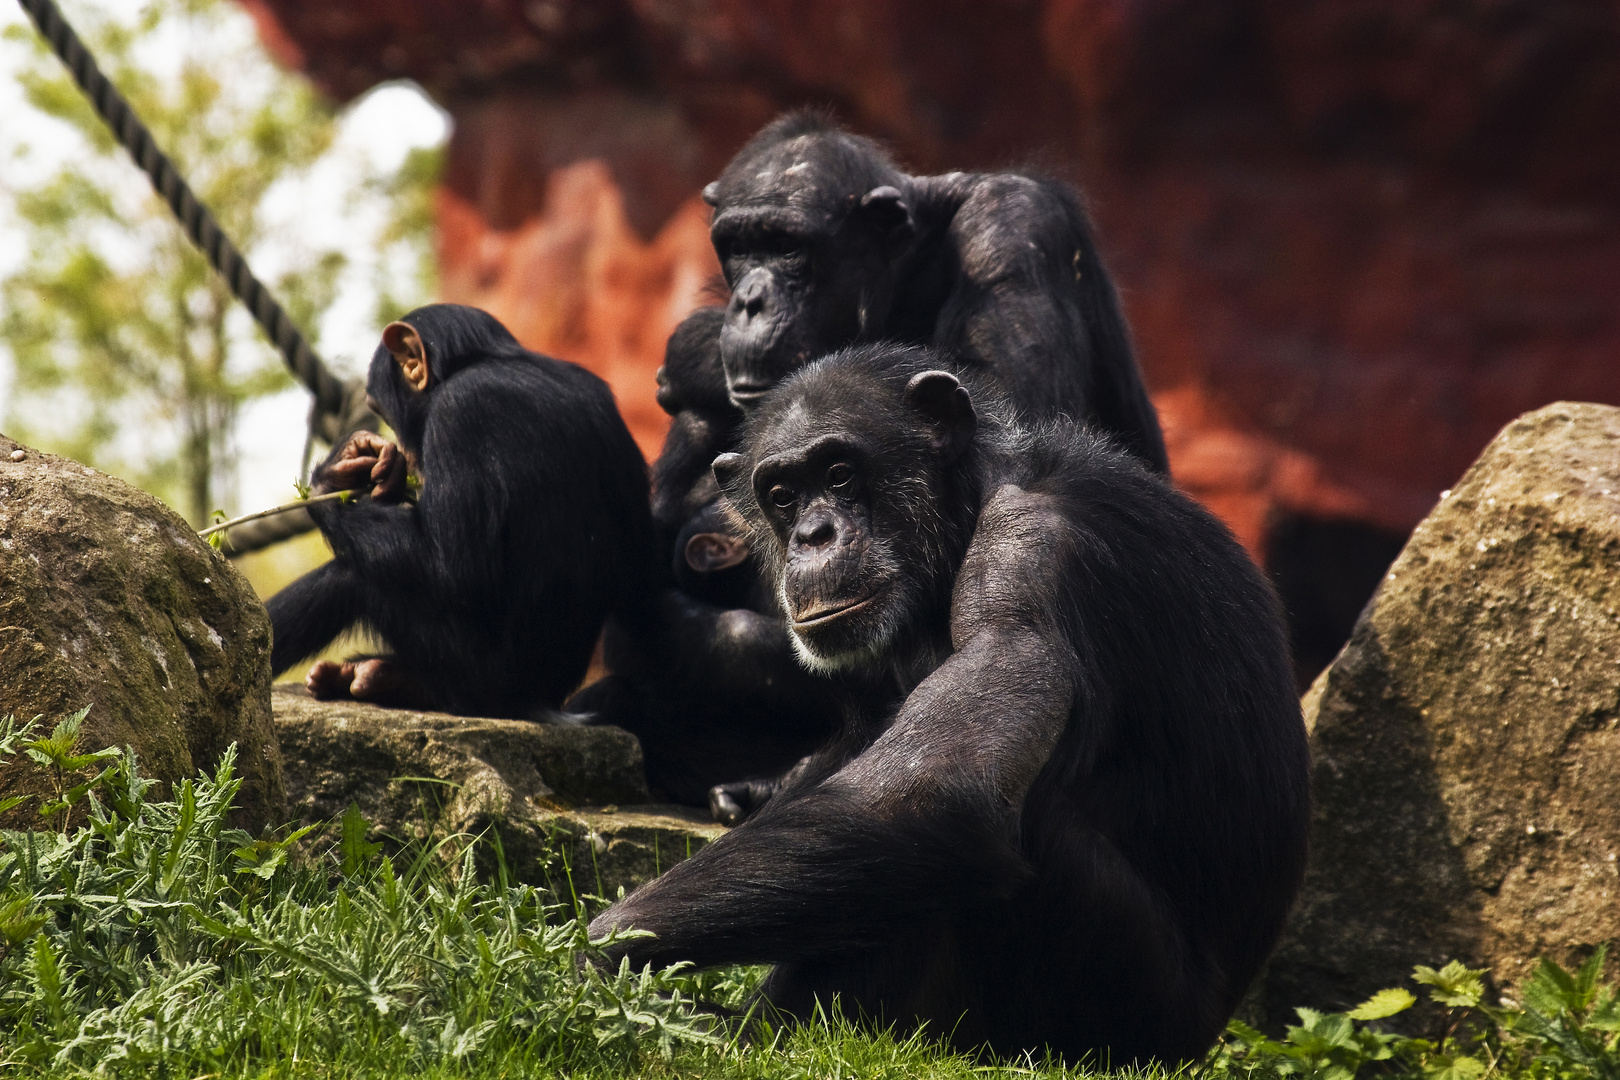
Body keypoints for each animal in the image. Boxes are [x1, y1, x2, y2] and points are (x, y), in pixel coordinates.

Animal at [262, 304, 648, 722]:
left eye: (380, 409)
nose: (407, 454)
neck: (485, 361)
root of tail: (542, 705)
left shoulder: (456, 411)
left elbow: (454, 570)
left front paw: (331, 480)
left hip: (474, 677)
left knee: (354, 574)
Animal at [589, 344, 1308, 1062]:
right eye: (783, 496)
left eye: (841, 474)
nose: (814, 534)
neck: (973, 500)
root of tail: (1205, 1034)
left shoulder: (1027, 554)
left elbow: (934, 794)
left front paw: (606, 957)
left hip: (1120, 1016)